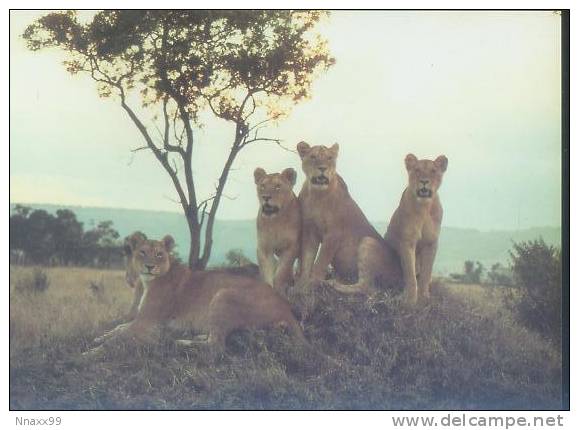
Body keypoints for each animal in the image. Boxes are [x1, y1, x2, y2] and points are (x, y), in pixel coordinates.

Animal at [88, 233, 306, 354]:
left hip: (224, 294)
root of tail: (286, 307)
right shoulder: (143, 320)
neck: (148, 281)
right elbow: (118, 328)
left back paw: (180, 342)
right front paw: (100, 337)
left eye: (159, 254)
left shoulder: (147, 322)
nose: (150, 266)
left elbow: (119, 337)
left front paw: (92, 352)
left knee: (217, 346)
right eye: (142, 252)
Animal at [296, 141, 402, 288]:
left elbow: (320, 262)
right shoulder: (309, 230)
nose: (322, 168)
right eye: (313, 157)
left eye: (329, 158)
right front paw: (301, 285)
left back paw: (333, 284)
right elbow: (307, 259)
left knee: (367, 287)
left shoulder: (334, 233)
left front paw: (312, 283)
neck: (317, 195)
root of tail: (401, 277)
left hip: (368, 241)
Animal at [388, 153, 450, 304]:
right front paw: (410, 300)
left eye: (433, 171)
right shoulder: (407, 241)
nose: (424, 181)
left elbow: (426, 273)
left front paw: (424, 297)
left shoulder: (431, 243)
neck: (424, 207)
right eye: (417, 170)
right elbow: (410, 274)